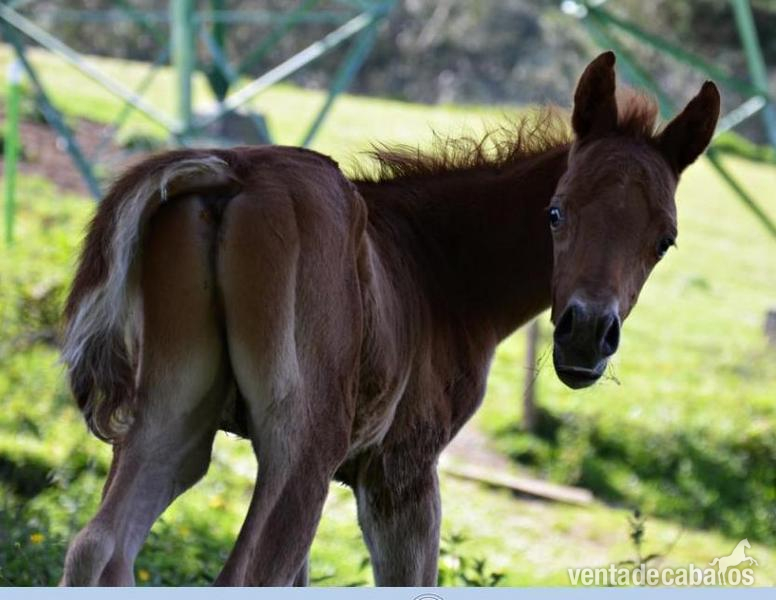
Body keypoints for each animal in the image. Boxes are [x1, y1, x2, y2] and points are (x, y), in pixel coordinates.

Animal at [59, 52, 720, 586]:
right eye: (555, 213)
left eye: (664, 241)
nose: (585, 335)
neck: (437, 267)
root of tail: (234, 171)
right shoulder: (401, 475)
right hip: (304, 447)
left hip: (174, 417)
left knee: (99, 549)